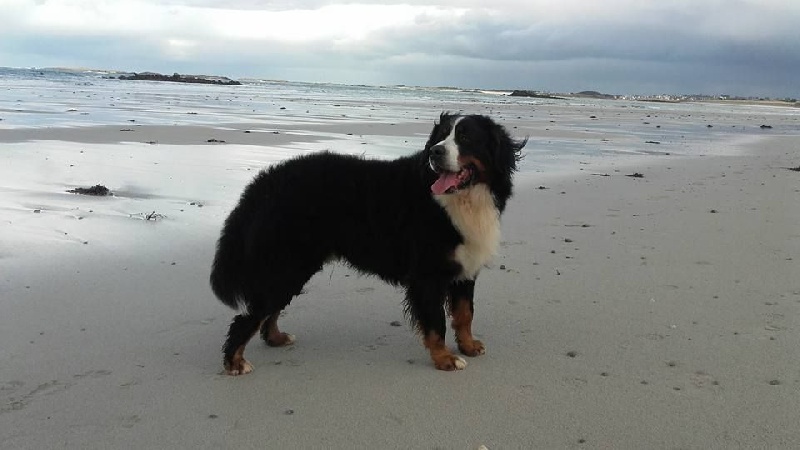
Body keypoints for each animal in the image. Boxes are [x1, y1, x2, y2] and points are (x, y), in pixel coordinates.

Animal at [210, 113, 526, 375]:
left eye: (466, 137)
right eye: (441, 137)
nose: (435, 152)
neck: (461, 200)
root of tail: (266, 181)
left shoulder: (465, 267)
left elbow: (464, 314)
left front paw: (469, 346)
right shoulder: (428, 274)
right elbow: (436, 323)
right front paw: (445, 358)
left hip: (292, 266)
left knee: (270, 309)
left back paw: (276, 338)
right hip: (289, 264)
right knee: (251, 314)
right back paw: (235, 362)